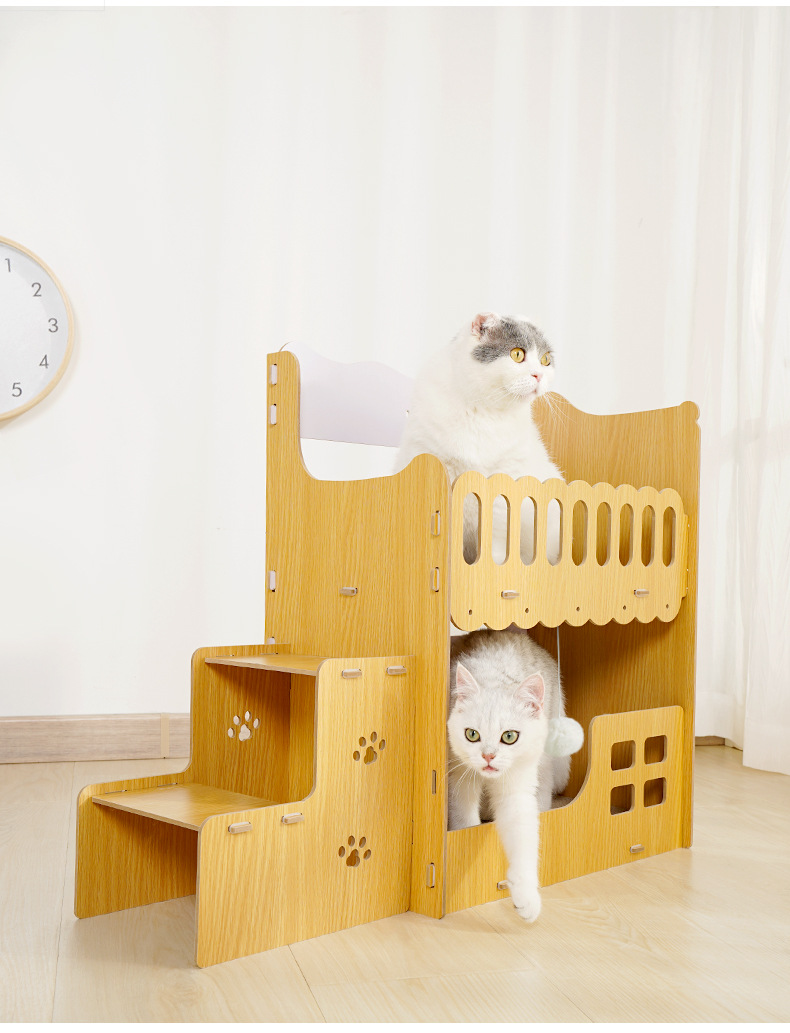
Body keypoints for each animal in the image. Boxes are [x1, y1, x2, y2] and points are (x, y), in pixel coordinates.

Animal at [396, 312, 564, 564]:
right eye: (517, 354)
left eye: (545, 360)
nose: (539, 375)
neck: (483, 412)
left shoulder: (504, 484)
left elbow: (495, 541)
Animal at [447, 629, 570, 922]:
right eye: (472, 734)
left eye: (509, 737)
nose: (488, 756)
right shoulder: (459, 780)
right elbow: (465, 822)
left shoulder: (516, 790)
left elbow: (525, 840)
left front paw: (527, 899)